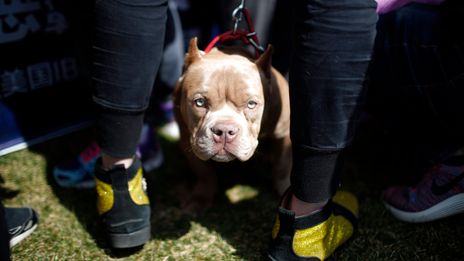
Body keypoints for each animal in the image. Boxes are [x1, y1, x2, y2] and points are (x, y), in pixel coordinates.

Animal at [172, 37, 292, 209]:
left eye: (251, 104)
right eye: (200, 102)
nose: (224, 131)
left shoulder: (284, 134)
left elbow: (282, 166)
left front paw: (283, 191)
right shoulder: (187, 137)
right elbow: (203, 171)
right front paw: (200, 198)